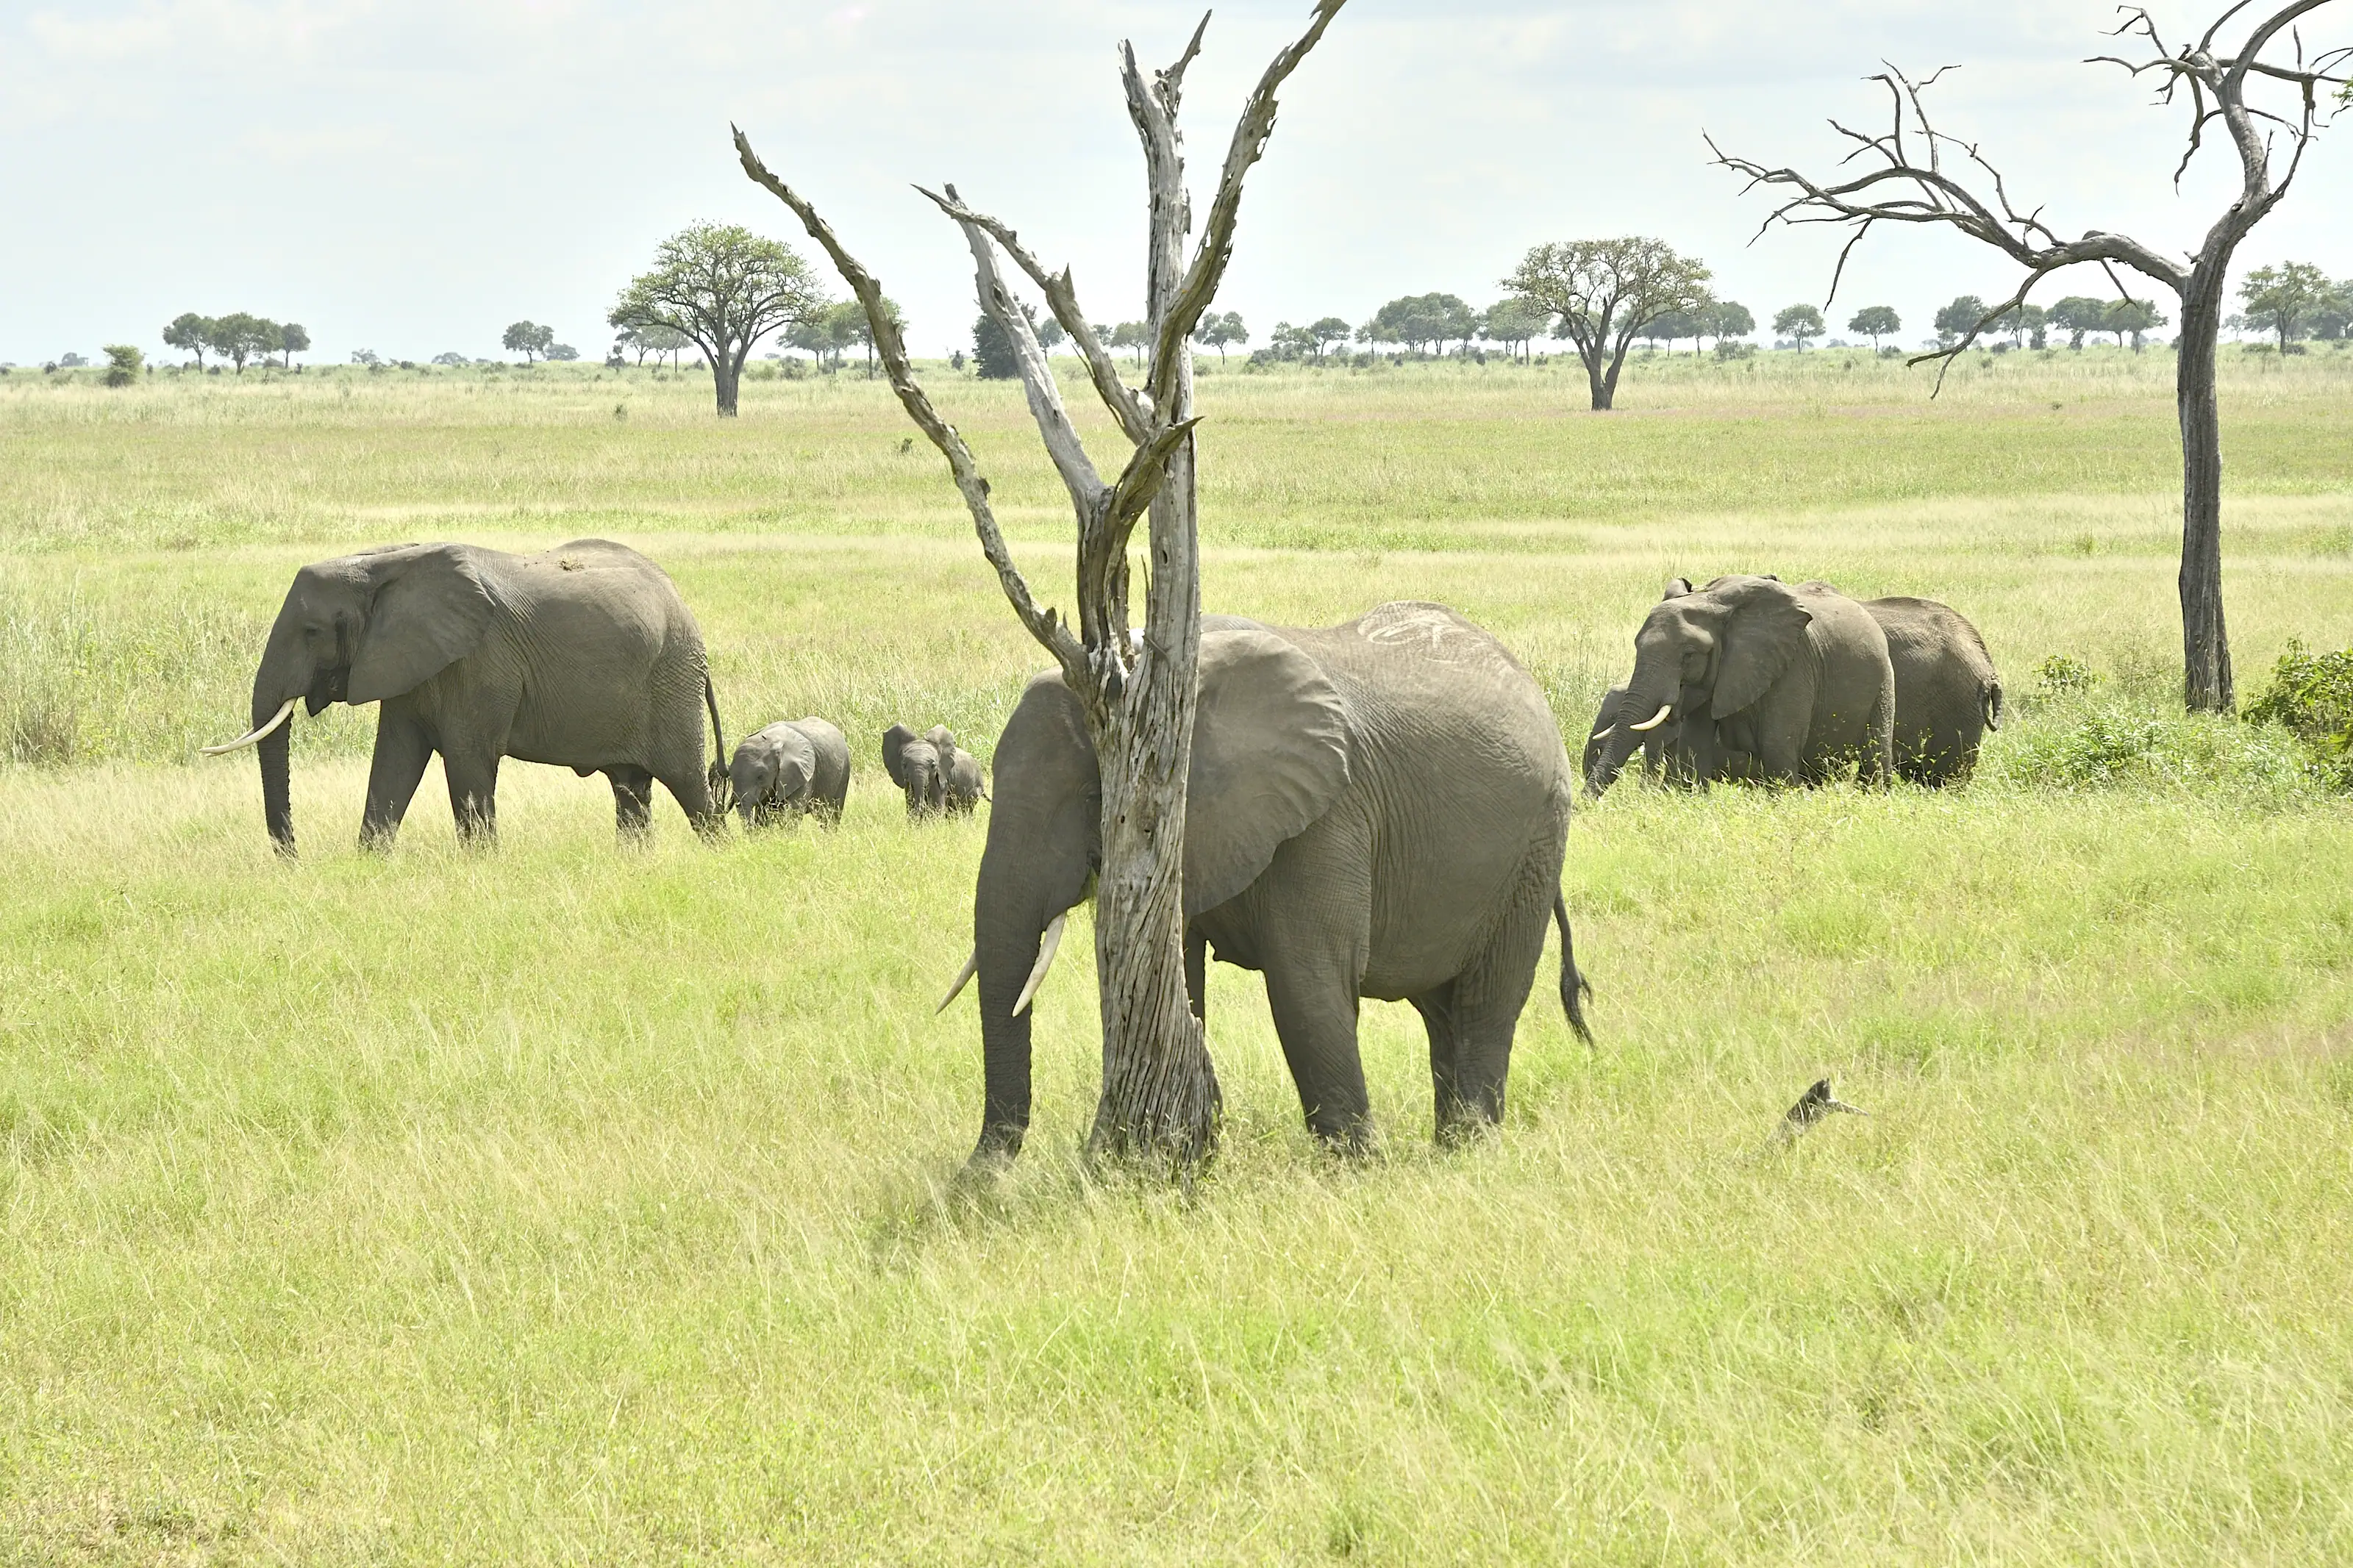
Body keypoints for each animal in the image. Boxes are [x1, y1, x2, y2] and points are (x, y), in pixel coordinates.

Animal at [204, 539, 726, 853]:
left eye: (313, 632)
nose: (293, 858)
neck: (380, 564)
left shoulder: (479, 661)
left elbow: (467, 758)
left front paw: (481, 865)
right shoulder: (406, 661)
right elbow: (394, 759)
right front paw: (371, 862)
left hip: (672, 680)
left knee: (690, 786)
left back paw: (716, 855)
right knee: (631, 790)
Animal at [729, 717, 850, 827]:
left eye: (761, 777)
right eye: (730, 777)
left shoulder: (804, 774)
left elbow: (794, 813)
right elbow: (764, 813)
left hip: (844, 773)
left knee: (831, 815)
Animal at [937, 602, 1592, 1161]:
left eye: (1093, 797)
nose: (978, 1177)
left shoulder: (1328, 816)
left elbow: (1307, 986)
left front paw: (1356, 1174)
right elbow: (1176, 980)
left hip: (1537, 845)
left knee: (1487, 1001)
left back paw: (1468, 1154)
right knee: (1441, 1008)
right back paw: (1448, 1150)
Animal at [1586, 574, 1893, 797]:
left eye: (1689, 655)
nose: (1581, 809)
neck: (1710, 602)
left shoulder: (1792, 665)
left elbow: (1777, 748)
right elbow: (1693, 750)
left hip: (1883, 680)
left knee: (1875, 754)